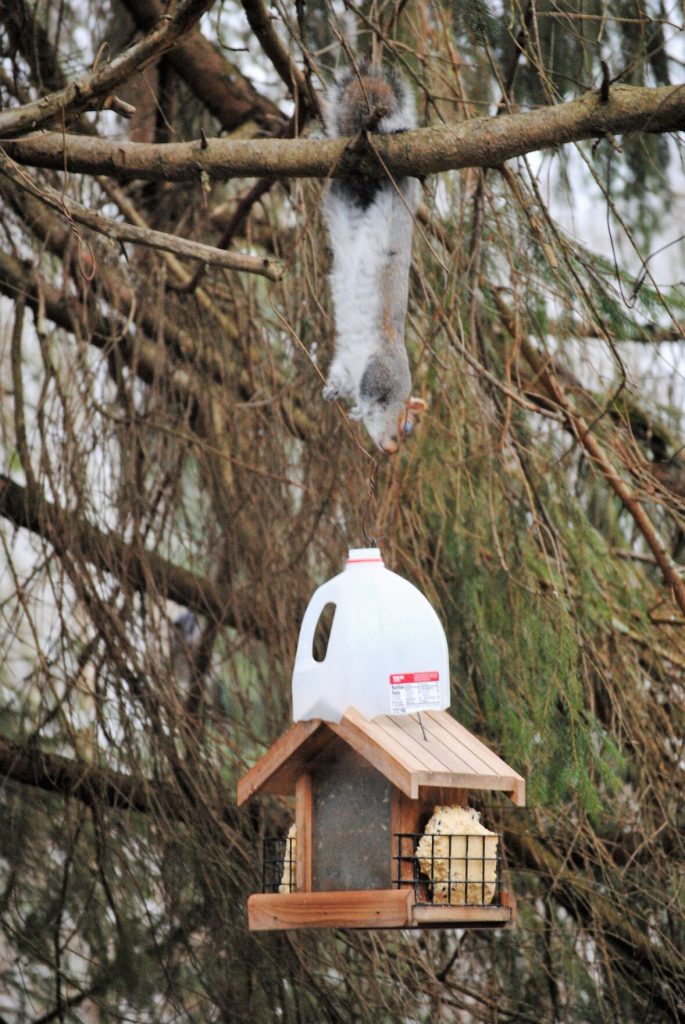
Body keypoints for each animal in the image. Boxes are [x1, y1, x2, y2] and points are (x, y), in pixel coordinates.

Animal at [321, 63, 427, 455]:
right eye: (406, 425)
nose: (392, 449)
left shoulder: (349, 366)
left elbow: (339, 376)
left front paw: (332, 392)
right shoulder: (382, 371)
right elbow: (369, 394)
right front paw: (361, 410)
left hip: (344, 197)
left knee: (337, 187)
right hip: (398, 186)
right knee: (401, 175)